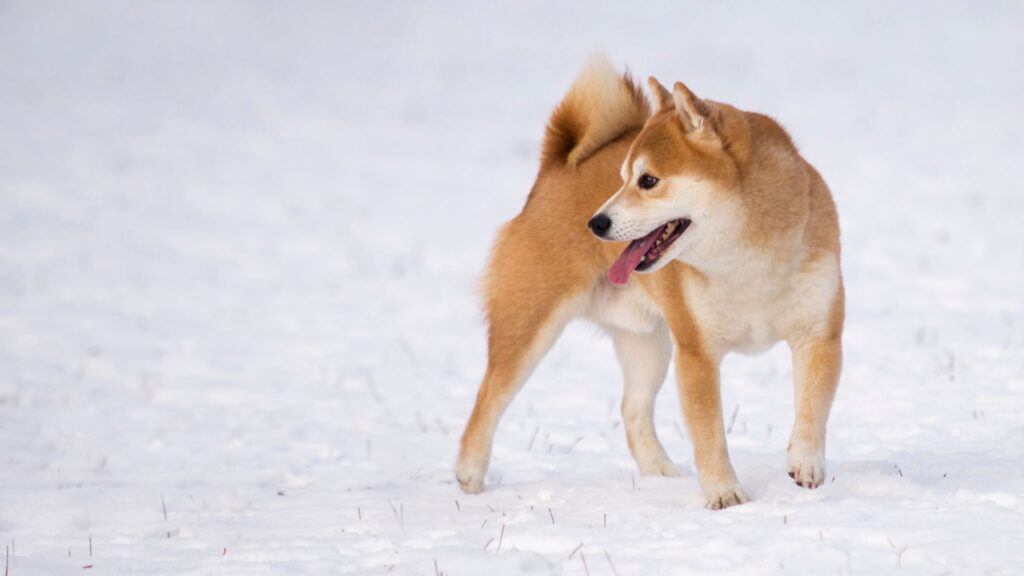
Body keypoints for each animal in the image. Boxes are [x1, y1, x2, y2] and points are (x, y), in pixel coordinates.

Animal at [460, 56, 843, 506]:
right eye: (623, 177)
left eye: (648, 181)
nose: (596, 223)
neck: (746, 261)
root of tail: (555, 169)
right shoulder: (697, 352)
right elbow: (709, 433)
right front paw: (725, 494)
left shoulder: (819, 334)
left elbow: (813, 406)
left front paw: (806, 462)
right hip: (530, 324)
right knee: (488, 397)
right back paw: (469, 475)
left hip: (647, 341)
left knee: (632, 410)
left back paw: (660, 473)